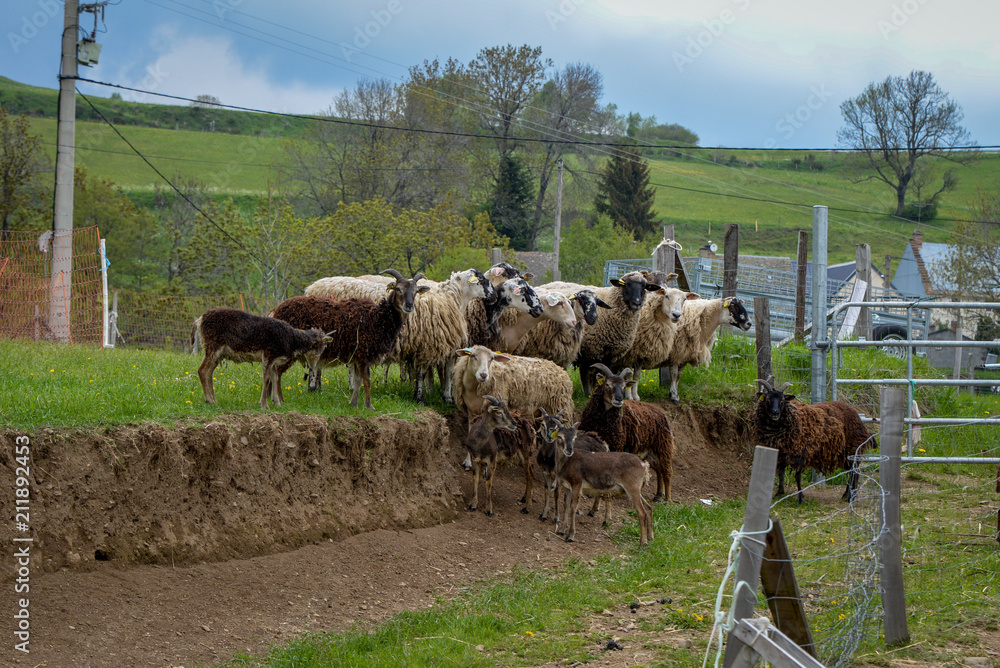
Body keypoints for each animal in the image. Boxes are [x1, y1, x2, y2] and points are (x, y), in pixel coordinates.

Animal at [193, 308, 332, 409]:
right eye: (320, 346)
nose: (314, 365)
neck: (291, 341)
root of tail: (199, 320)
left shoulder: (274, 360)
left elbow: (275, 378)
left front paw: (277, 402)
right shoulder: (268, 354)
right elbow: (267, 379)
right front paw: (264, 404)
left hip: (218, 354)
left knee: (209, 373)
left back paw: (213, 399)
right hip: (212, 347)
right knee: (202, 370)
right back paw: (209, 400)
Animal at [270, 269, 429, 409]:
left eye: (415, 292)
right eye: (398, 289)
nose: (409, 306)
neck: (379, 317)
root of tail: (278, 310)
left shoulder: (358, 356)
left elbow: (358, 381)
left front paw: (354, 404)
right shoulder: (364, 353)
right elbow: (367, 380)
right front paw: (369, 406)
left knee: (275, 370)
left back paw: (277, 398)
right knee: (277, 371)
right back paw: (279, 400)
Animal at [578, 363, 675, 502]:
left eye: (624, 387)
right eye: (607, 384)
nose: (619, 399)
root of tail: (660, 411)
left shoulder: (617, 445)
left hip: (664, 446)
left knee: (666, 471)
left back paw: (668, 499)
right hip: (649, 452)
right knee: (659, 470)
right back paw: (658, 495)